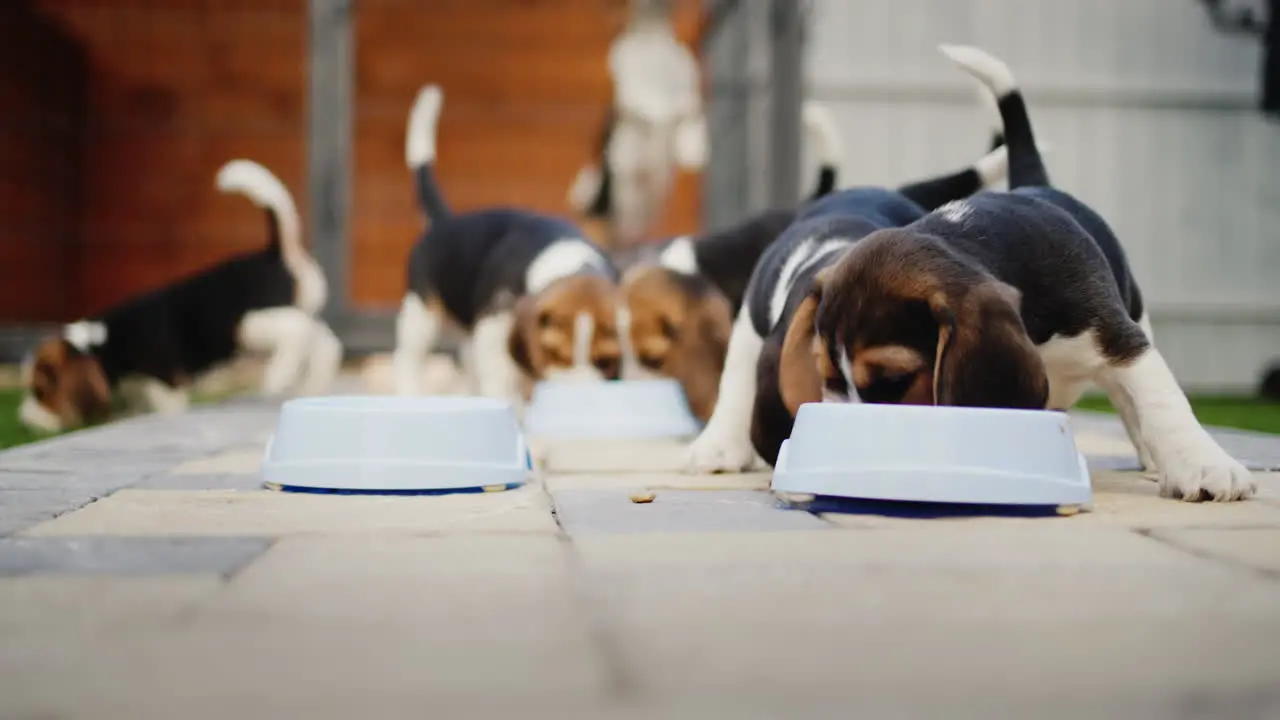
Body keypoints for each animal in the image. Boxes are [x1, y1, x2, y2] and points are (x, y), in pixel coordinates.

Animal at [21, 158, 340, 430]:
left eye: (42, 390)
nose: (23, 422)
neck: (104, 342)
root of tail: (274, 253)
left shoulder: (166, 388)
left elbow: (168, 408)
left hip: (248, 325)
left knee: (297, 330)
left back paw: (277, 376)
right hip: (294, 312)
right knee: (324, 341)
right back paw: (312, 385)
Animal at [394, 83, 624, 407]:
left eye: (606, 361)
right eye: (555, 354)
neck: (567, 260)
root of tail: (446, 221)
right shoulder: (493, 327)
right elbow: (500, 377)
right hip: (420, 312)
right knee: (409, 359)